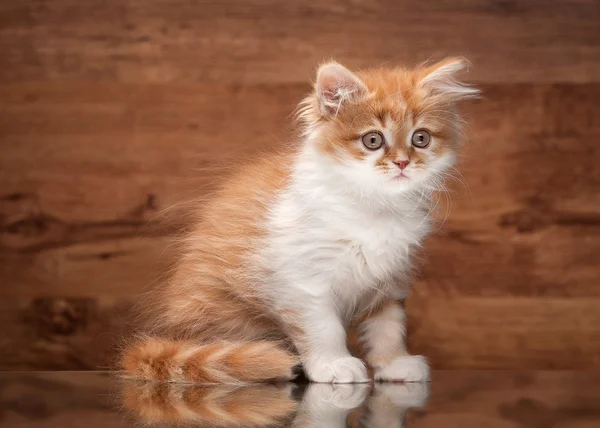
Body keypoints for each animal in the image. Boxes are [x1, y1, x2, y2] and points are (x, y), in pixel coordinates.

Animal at [122, 57, 478, 384]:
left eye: (421, 138)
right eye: (373, 140)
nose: (403, 163)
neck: (374, 205)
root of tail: (166, 334)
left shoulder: (390, 278)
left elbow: (388, 326)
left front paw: (394, 363)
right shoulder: (303, 282)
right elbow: (324, 328)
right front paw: (334, 365)